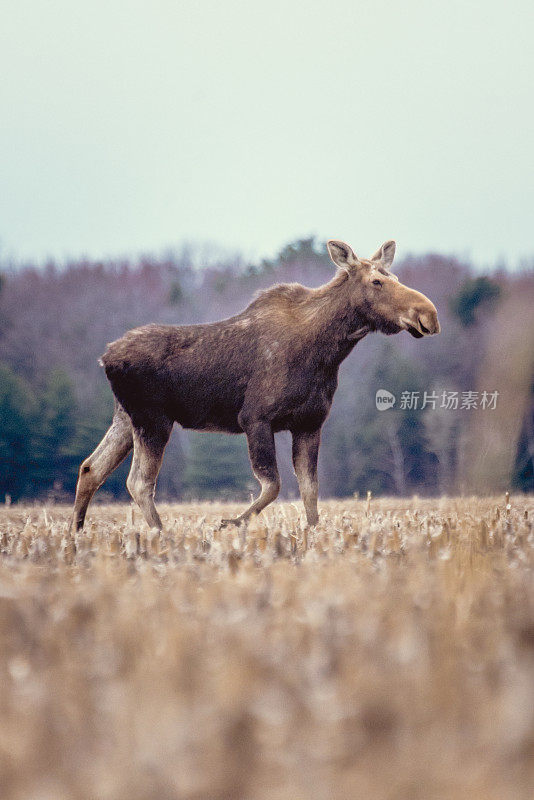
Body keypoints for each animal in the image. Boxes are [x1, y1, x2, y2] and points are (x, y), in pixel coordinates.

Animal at [70, 241, 440, 536]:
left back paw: (76, 532)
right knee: (139, 482)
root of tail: (105, 358)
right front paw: (230, 523)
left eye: (394, 277)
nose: (429, 315)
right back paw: (161, 533)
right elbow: (273, 485)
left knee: (91, 467)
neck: (328, 352)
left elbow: (310, 488)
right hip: (153, 419)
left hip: (126, 417)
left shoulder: (309, 423)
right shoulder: (255, 418)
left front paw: (314, 533)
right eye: (376, 281)